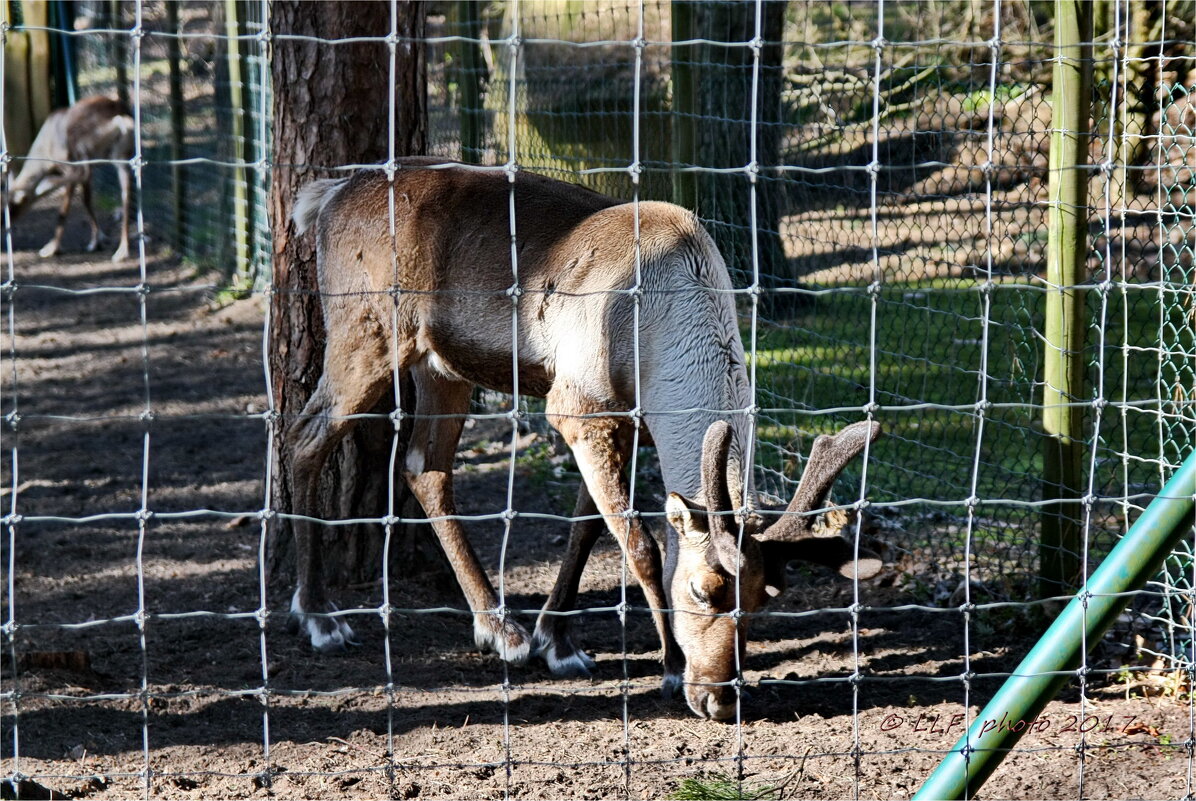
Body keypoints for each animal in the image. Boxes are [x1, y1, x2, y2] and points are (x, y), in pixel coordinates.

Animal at [4, 95, 132, 260]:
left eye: (11, 207)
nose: (3, 224)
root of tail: (119, 118)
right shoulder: (90, 172)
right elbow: (87, 201)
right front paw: (96, 241)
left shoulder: (67, 164)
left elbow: (65, 207)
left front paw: (52, 248)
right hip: (121, 157)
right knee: (126, 195)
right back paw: (122, 251)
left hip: (81, 150)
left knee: (81, 172)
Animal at [289, 160, 885, 726]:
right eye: (701, 589)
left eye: (763, 600)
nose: (720, 700)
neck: (656, 335)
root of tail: (326, 197)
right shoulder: (577, 407)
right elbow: (640, 544)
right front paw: (670, 667)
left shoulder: (627, 422)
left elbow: (587, 524)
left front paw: (557, 642)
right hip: (366, 331)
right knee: (304, 439)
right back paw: (319, 617)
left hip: (442, 364)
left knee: (423, 465)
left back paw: (500, 629)